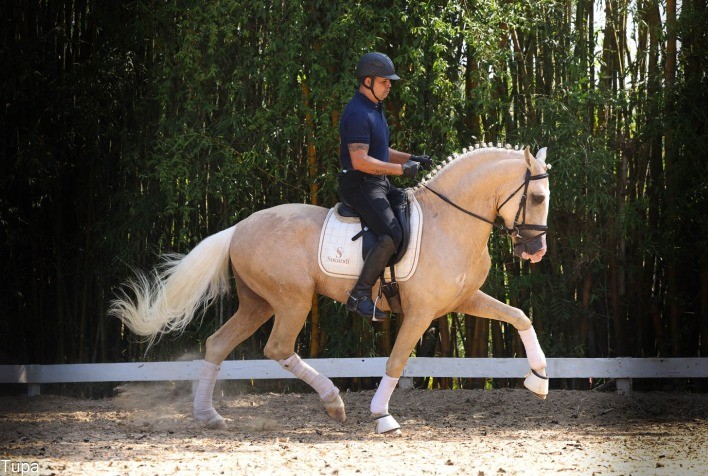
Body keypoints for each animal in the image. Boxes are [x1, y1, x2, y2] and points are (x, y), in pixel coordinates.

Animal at [110, 144, 552, 435]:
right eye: (536, 196)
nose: (535, 252)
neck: (451, 221)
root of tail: (238, 228)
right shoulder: (421, 313)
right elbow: (396, 361)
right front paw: (382, 415)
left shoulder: (463, 300)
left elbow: (519, 316)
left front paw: (539, 379)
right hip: (293, 300)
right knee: (278, 348)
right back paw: (333, 401)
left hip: (258, 304)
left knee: (218, 344)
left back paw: (209, 416)